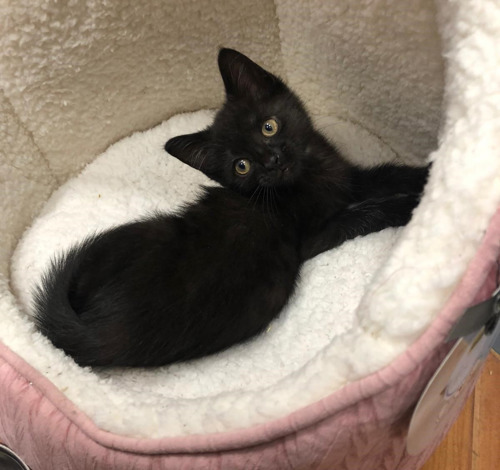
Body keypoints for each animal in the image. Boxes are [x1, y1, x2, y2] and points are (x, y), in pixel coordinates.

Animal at [33, 50, 428, 368]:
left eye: (269, 126)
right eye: (242, 166)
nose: (272, 160)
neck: (309, 176)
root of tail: (91, 328)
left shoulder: (348, 178)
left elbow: (385, 174)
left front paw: (427, 175)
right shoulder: (315, 235)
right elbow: (365, 213)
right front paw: (411, 207)